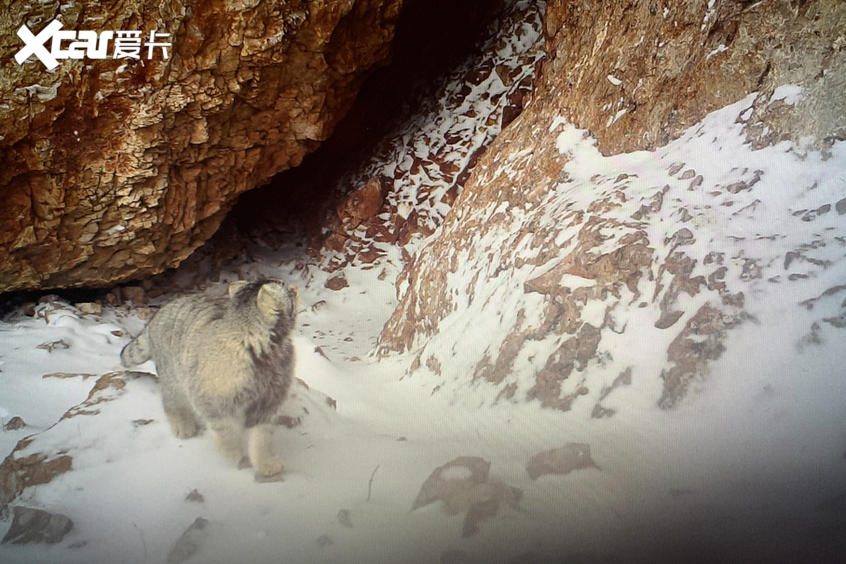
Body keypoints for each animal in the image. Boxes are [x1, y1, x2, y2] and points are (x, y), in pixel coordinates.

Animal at [120, 278, 298, 476]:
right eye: (288, 289)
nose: (294, 287)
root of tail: (158, 314)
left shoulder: (268, 402)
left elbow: (262, 438)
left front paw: (265, 464)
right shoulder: (211, 402)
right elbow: (227, 432)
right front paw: (235, 454)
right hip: (173, 379)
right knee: (171, 402)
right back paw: (183, 425)